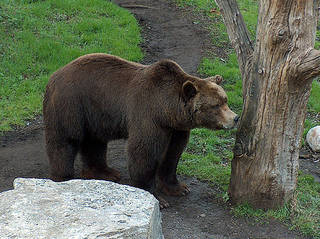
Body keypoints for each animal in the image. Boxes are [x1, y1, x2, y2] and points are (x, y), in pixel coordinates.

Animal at [43, 53, 238, 207]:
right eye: (216, 105)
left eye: (225, 100)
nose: (235, 118)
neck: (167, 110)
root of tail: (53, 76)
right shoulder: (148, 116)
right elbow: (143, 152)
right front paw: (156, 197)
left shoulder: (176, 128)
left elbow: (173, 153)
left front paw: (179, 188)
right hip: (71, 104)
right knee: (65, 141)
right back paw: (63, 177)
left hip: (94, 114)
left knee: (94, 142)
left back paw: (105, 172)